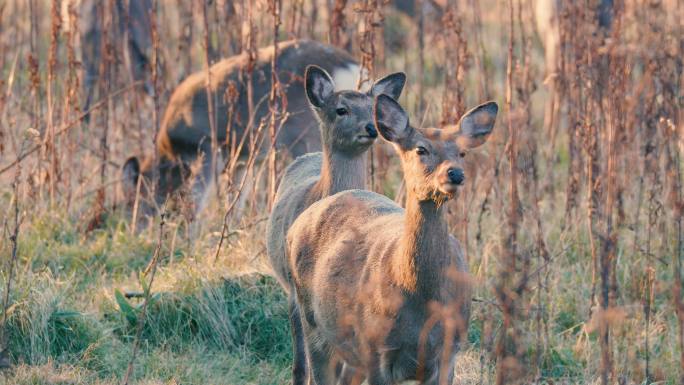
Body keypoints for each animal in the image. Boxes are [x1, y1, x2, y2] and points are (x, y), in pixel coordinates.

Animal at [121, 40, 364, 219]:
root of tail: (350, 67)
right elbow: (236, 199)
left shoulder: (206, 146)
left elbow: (196, 201)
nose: (133, 231)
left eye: (133, 200)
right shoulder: (243, 159)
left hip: (306, 134)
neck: (173, 150)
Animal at [284, 94, 496, 384]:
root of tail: (296, 224)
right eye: (420, 150)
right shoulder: (376, 347)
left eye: (462, 152)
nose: (455, 174)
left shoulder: (448, 352)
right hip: (312, 322)